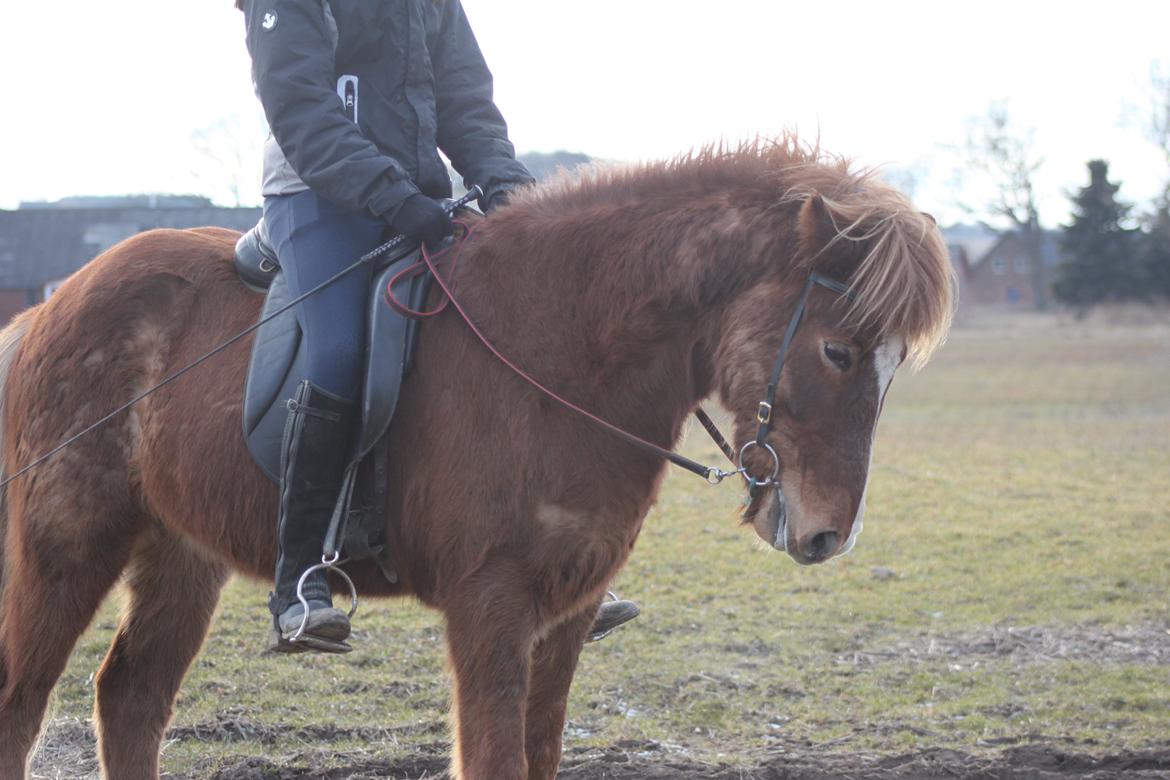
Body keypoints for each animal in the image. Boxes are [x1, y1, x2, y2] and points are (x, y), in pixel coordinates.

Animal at [0, 137, 950, 776]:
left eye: (894, 366)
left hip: (181, 552)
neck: (557, 351)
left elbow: (539, 755)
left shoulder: (564, 615)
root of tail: (51, 307)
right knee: (22, 701)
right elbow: (495, 759)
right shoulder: (490, 604)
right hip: (67, 544)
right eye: (837, 351)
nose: (828, 535)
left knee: (130, 699)